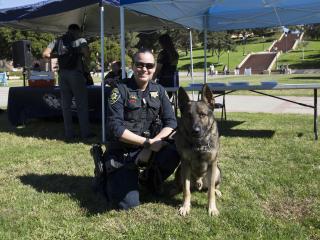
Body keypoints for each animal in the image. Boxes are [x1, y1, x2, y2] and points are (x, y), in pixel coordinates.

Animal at [174, 85, 221, 218]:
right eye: (189, 116)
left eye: (202, 115)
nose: (195, 131)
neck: (199, 145)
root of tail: (199, 183)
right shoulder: (185, 164)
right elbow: (186, 190)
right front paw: (185, 206)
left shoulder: (212, 164)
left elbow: (210, 191)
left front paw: (212, 208)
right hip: (179, 171)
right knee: (182, 186)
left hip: (217, 171)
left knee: (213, 187)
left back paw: (217, 191)